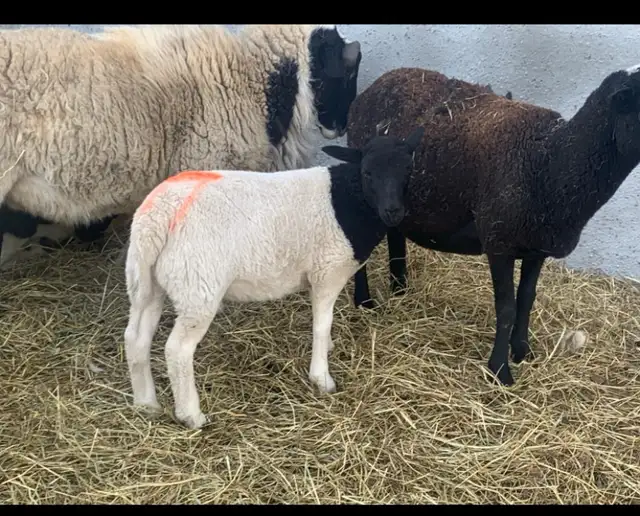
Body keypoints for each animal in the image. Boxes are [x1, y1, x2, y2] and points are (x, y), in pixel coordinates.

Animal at [123, 124, 425, 429]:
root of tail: (159, 214)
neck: (348, 201)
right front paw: (322, 378)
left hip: (147, 282)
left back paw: (146, 404)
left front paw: (327, 349)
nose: (394, 212)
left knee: (135, 338)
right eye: (368, 172)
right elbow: (322, 324)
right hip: (197, 286)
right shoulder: (327, 271)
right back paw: (191, 416)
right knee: (178, 350)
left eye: (408, 169)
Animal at [346, 64, 640, 387]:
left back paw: (400, 289)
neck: (550, 161)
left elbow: (526, 299)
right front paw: (500, 370)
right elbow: (506, 307)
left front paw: (523, 351)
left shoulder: (536, 246)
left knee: (396, 233)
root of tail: (376, 84)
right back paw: (364, 301)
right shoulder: (499, 242)